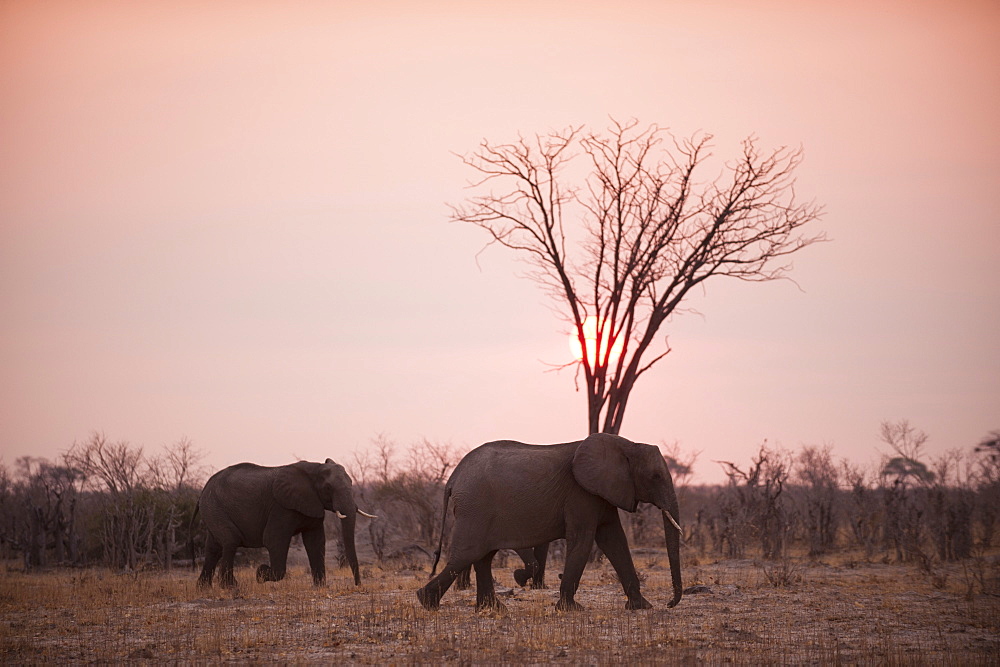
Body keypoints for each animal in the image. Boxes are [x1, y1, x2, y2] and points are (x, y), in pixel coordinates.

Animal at [195, 460, 376, 588]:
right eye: (328, 488)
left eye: (352, 483)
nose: (358, 585)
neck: (315, 468)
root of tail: (204, 487)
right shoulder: (281, 507)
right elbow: (273, 539)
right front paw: (260, 574)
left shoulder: (312, 504)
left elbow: (315, 541)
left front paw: (320, 587)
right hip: (214, 506)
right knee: (230, 541)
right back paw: (230, 587)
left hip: (212, 509)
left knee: (213, 548)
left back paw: (204, 588)